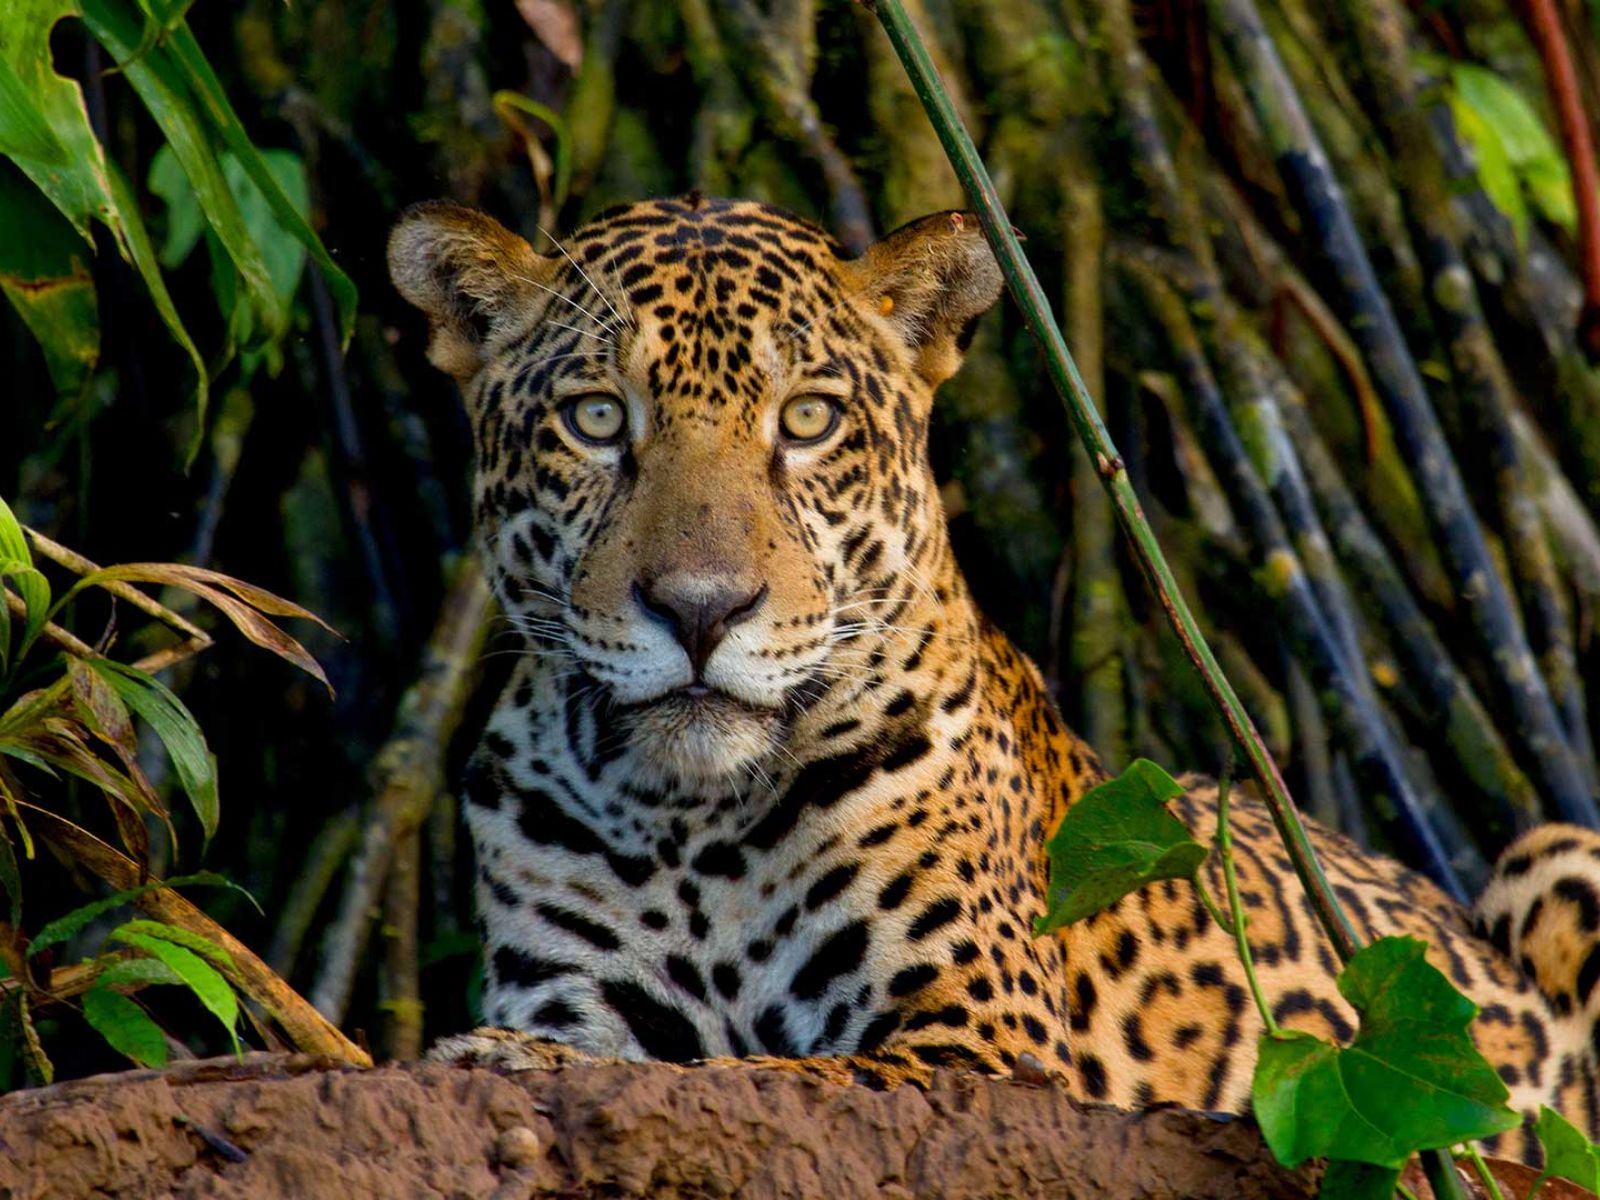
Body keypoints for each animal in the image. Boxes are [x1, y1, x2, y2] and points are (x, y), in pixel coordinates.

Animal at [389, 193, 1600, 1162]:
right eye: (597, 419)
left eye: (807, 419)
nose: (700, 609)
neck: (688, 820)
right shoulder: (578, 987)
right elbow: (631, 1054)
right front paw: (516, 1059)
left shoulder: (976, 1040)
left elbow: (755, 1074)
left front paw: (512, 1065)